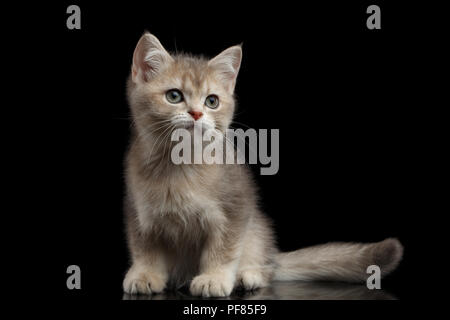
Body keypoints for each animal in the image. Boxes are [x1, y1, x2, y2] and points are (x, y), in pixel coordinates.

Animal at [123, 32, 404, 298]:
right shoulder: (138, 211)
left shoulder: (237, 207)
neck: (179, 166)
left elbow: (223, 249)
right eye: (174, 96)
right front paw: (145, 274)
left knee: (265, 267)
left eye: (212, 101)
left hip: (257, 229)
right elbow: (144, 249)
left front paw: (214, 278)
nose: (196, 113)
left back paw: (248, 275)